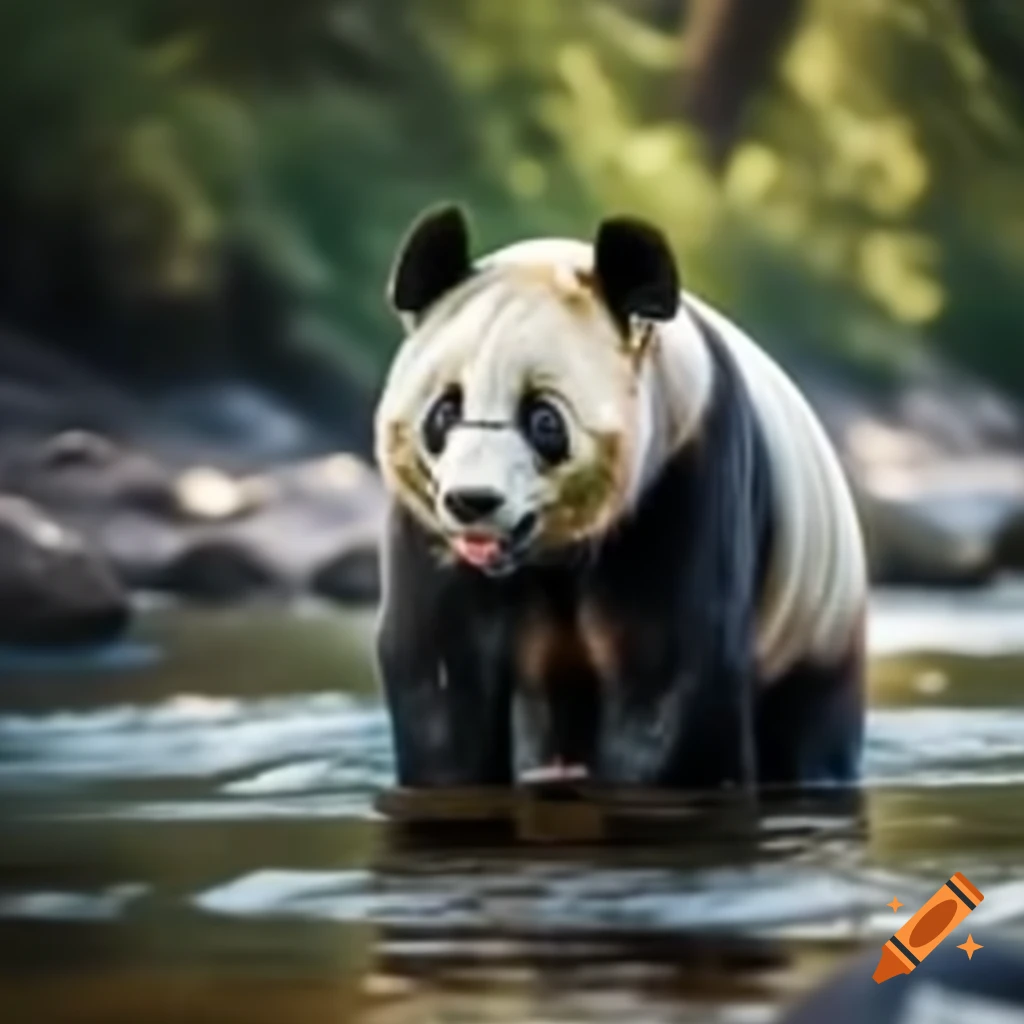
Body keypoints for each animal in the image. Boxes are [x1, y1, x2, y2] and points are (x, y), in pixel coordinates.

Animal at [373, 203, 868, 792]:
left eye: (543, 419)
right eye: (445, 412)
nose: (474, 501)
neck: (547, 557)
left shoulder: (680, 481)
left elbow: (669, 675)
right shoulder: (428, 533)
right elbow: (444, 677)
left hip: (815, 619)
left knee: (809, 725)